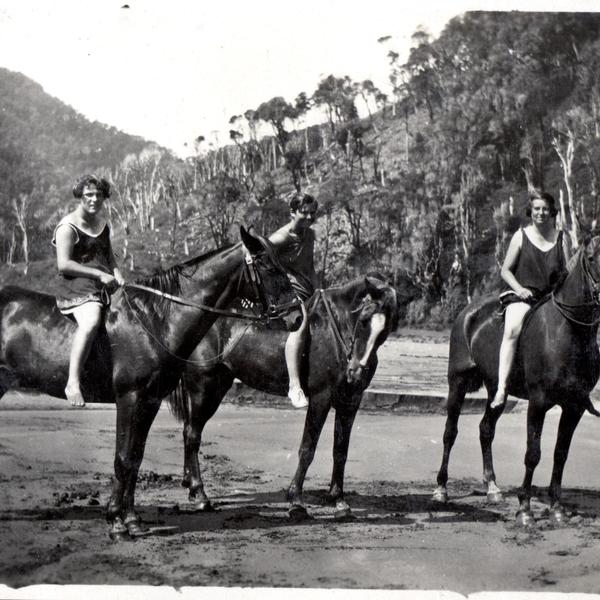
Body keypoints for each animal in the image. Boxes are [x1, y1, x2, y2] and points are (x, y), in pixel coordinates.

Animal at [169, 272, 420, 520]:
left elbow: (341, 451)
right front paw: (296, 501)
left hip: (217, 386)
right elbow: (307, 448)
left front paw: (339, 500)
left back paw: (190, 484)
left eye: (387, 328)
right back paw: (200, 494)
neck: (335, 331)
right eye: (364, 319)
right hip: (204, 386)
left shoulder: (350, 402)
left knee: (190, 430)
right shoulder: (321, 398)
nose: (356, 372)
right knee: (192, 434)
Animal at [434, 234, 600, 524]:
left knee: (486, 430)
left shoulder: (574, 406)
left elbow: (560, 454)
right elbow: (533, 453)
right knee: (450, 433)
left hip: (494, 390)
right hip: (457, 384)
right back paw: (441, 489)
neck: (568, 331)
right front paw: (525, 509)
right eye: (591, 258)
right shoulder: (538, 402)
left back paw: (492, 488)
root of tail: (468, 313)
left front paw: (557, 508)